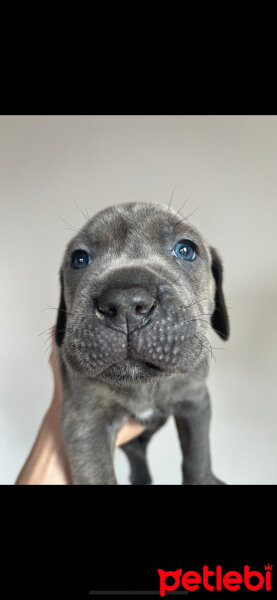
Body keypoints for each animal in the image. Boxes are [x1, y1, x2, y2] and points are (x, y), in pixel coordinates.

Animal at [54, 204, 229, 486]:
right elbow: (97, 474)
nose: (125, 301)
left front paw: (203, 478)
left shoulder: (195, 401)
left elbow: (197, 456)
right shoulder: (85, 424)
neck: (143, 384)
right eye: (80, 259)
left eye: (185, 250)